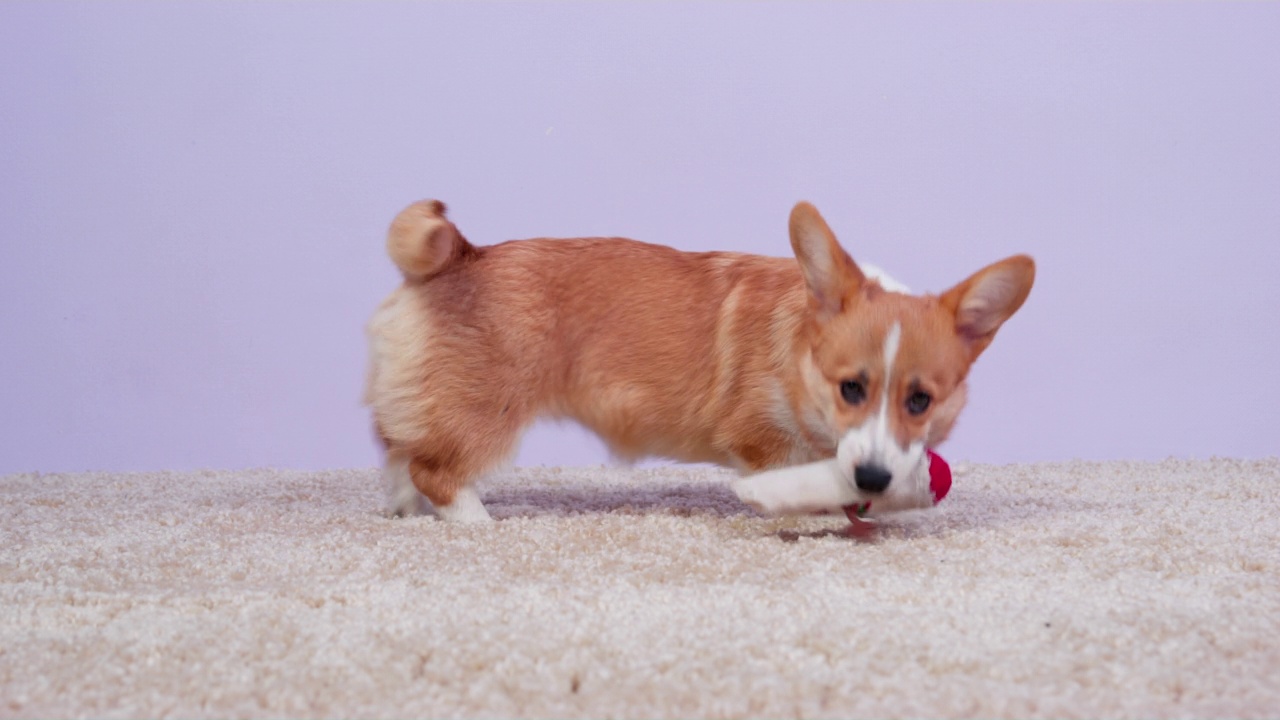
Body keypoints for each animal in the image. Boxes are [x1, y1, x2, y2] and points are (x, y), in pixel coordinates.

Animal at [366, 198, 1034, 517]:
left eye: (920, 401)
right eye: (851, 389)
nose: (874, 479)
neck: (798, 358)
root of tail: (463, 254)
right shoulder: (764, 442)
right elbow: (805, 480)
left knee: (400, 446)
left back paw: (403, 511)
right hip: (487, 409)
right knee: (436, 469)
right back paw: (475, 523)